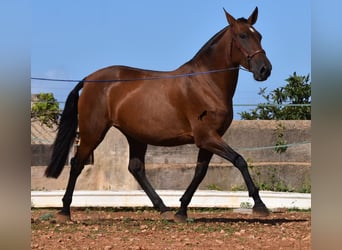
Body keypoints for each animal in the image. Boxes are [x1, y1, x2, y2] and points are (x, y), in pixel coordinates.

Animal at [45, 6, 272, 223]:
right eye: (243, 35)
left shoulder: (210, 139)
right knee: (77, 164)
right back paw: (64, 211)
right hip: (93, 132)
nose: (265, 69)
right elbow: (239, 160)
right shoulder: (207, 137)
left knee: (136, 168)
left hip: (135, 137)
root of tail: (89, 79)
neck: (207, 83)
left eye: (260, 36)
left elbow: (200, 172)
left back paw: (164, 209)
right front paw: (260, 206)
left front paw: (181, 211)